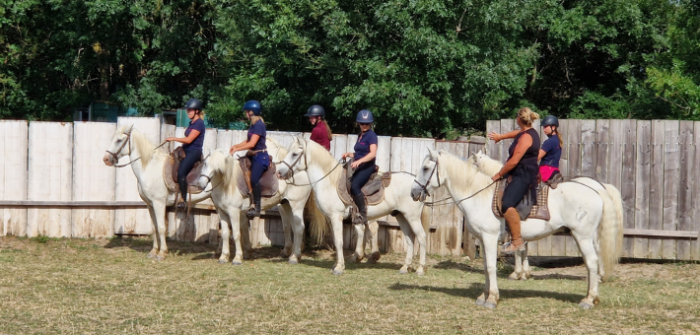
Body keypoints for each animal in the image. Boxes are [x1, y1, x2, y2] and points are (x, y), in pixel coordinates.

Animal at [101, 125, 211, 260]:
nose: (106, 159)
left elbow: (161, 227)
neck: (150, 167)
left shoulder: (159, 203)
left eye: (118, 140)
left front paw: (162, 253)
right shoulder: (150, 204)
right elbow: (154, 228)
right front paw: (153, 251)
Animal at [191, 138, 322, 266]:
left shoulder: (234, 211)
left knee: (299, 228)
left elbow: (237, 234)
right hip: (287, 205)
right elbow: (225, 234)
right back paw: (293, 254)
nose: (200, 184)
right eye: (205, 164)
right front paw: (224, 257)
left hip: (297, 205)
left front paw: (238, 258)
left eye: (218, 167)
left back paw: (295, 257)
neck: (227, 183)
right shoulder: (222, 212)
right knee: (294, 228)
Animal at [274, 136, 430, 276]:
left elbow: (339, 242)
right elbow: (336, 241)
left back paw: (420, 269)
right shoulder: (331, 218)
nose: (279, 172)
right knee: (410, 239)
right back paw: (405, 267)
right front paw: (335, 265)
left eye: (294, 154)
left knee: (422, 237)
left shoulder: (336, 217)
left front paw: (339, 268)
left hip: (412, 217)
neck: (330, 182)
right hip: (401, 216)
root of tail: (417, 186)